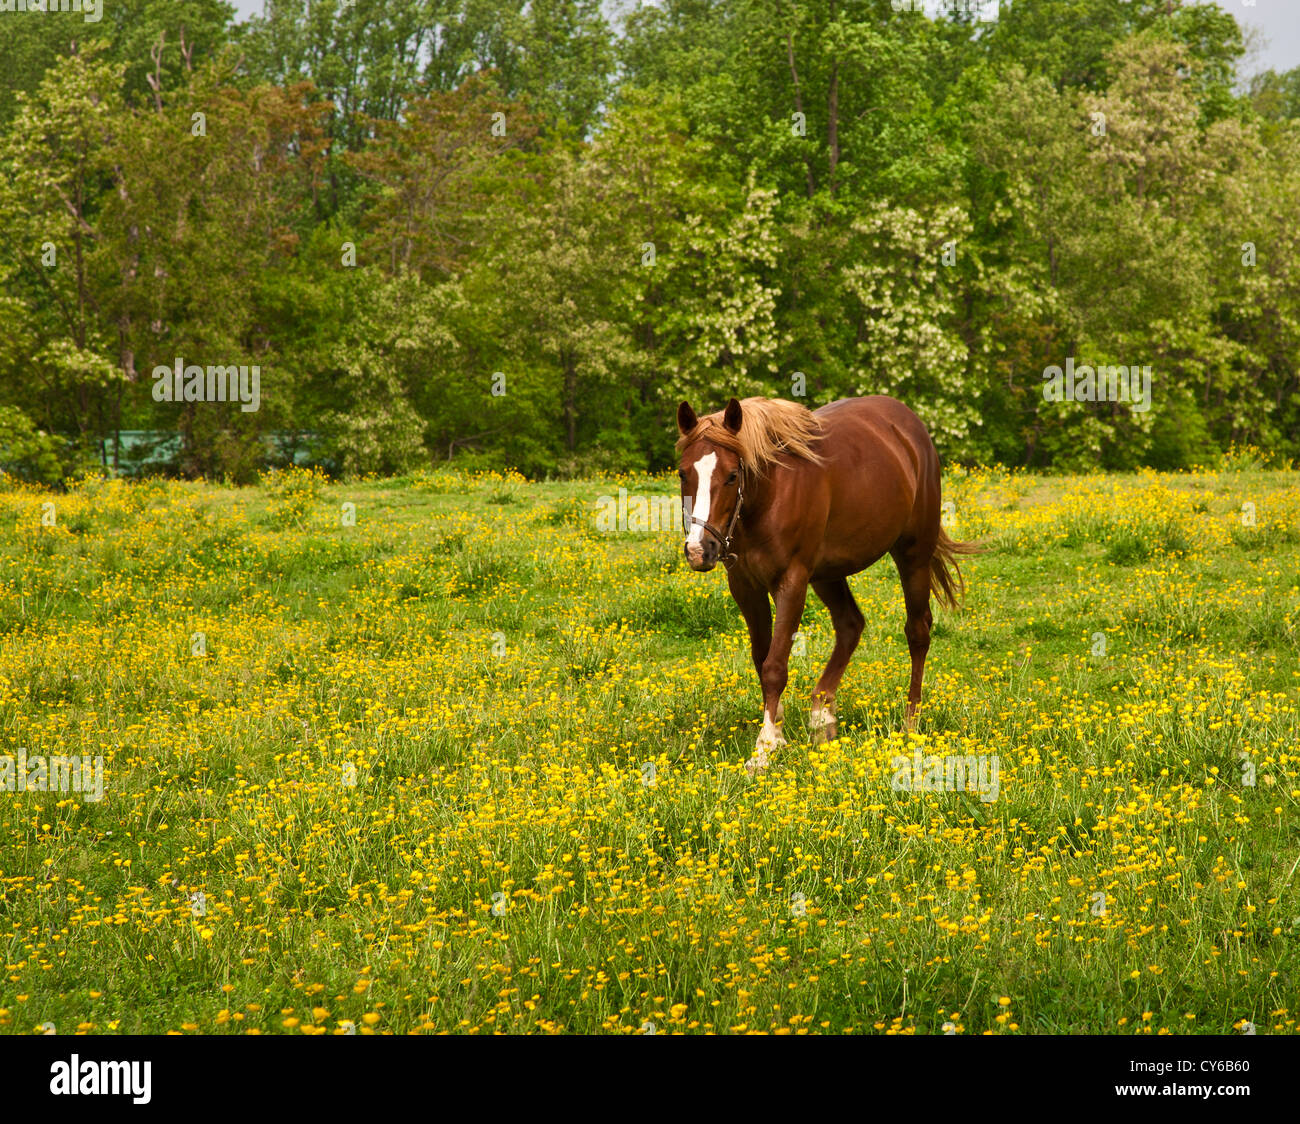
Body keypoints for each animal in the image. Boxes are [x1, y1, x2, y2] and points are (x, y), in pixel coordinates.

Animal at [681, 395, 977, 769]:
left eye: (732, 475)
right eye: (683, 473)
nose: (699, 550)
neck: (770, 493)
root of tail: (910, 426)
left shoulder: (792, 581)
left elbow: (775, 665)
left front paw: (765, 746)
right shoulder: (745, 586)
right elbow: (762, 659)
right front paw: (778, 729)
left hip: (913, 556)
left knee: (917, 631)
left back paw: (910, 724)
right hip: (827, 574)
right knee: (851, 625)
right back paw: (822, 716)